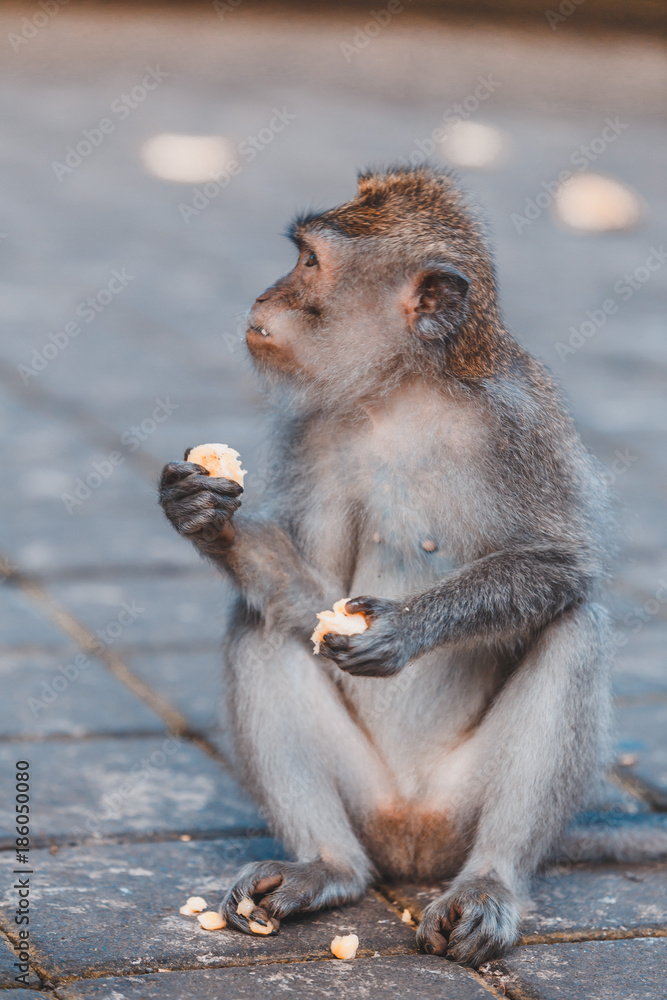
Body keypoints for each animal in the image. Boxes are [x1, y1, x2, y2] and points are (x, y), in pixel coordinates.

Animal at [162, 166, 667, 968]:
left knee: (573, 628)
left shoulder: (522, 423)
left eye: (309, 263)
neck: (407, 388)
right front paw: (200, 513)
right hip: (366, 801)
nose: (265, 296)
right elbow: (314, 599)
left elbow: (563, 566)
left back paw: (490, 883)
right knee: (257, 625)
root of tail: (412, 836)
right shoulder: (314, 431)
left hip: (460, 806)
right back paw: (326, 867)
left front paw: (406, 629)